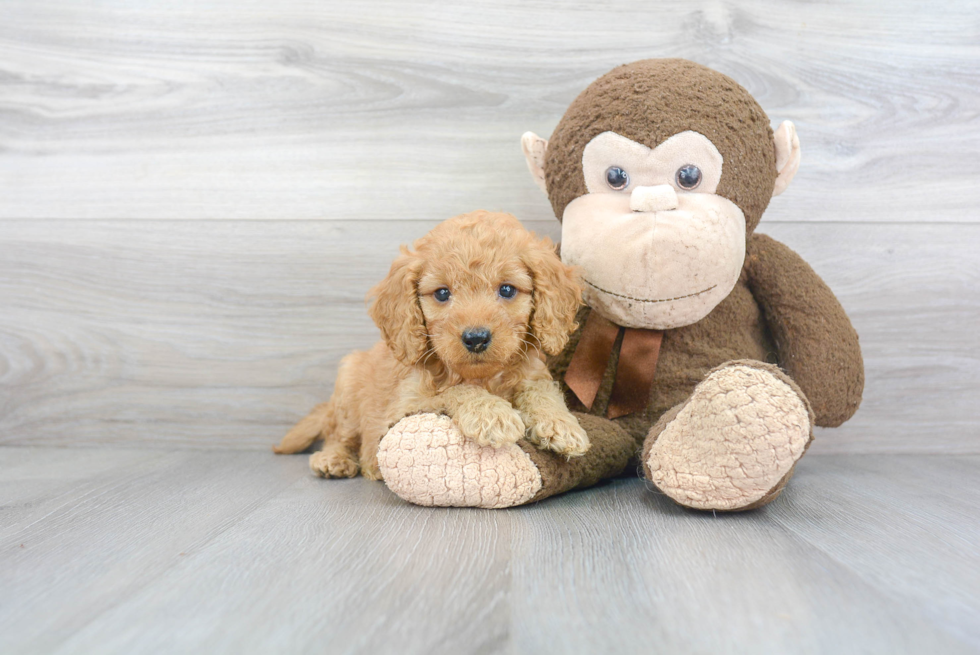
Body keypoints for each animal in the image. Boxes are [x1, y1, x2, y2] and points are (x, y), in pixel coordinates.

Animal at [272, 211, 584, 482]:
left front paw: (561, 423)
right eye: (442, 293)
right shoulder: (402, 411)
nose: (476, 338)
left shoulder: (533, 373)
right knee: (337, 435)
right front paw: (491, 414)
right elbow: (452, 392)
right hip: (347, 388)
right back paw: (332, 460)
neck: (481, 376)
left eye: (507, 289)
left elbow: (542, 390)